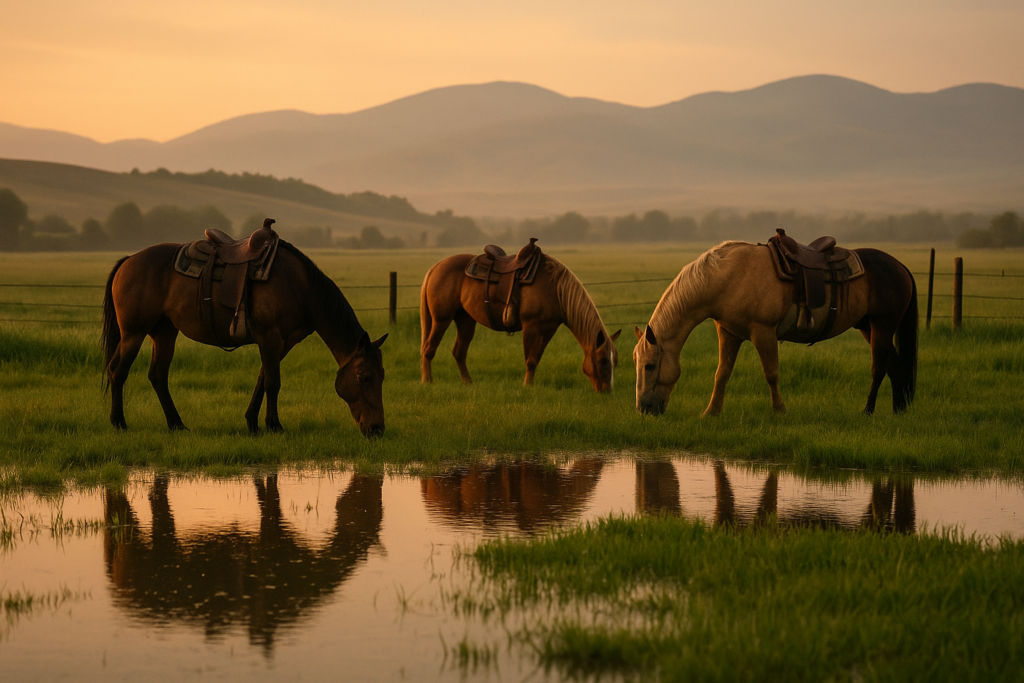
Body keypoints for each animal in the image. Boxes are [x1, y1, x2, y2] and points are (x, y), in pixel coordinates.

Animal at [101, 239, 387, 436]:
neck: (300, 286)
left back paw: (176, 424)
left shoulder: (282, 342)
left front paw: (252, 422)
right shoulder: (270, 337)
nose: (377, 429)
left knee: (157, 375)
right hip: (133, 334)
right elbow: (273, 382)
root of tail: (128, 260)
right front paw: (274, 425)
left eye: (381, 376)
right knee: (118, 372)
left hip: (164, 333)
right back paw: (119, 423)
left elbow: (262, 378)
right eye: (365, 376)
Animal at [419, 251, 621, 392]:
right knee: (429, 349)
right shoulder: (531, 327)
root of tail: (435, 268)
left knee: (459, 353)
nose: (607, 391)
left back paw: (468, 383)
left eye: (615, 362)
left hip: (465, 320)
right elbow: (530, 360)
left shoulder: (548, 329)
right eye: (603, 361)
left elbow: (536, 358)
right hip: (441, 319)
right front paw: (527, 386)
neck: (555, 288)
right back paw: (427, 381)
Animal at [633, 241, 917, 417]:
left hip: (883, 325)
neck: (726, 277)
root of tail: (900, 266)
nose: (643, 409)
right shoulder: (729, 333)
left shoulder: (763, 333)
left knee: (879, 368)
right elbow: (722, 374)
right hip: (867, 327)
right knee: (895, 365)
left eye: (650, 366)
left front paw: (779, 410)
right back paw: (898, 410)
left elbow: (771, 373)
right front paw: (711, 412)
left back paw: (868, 411)